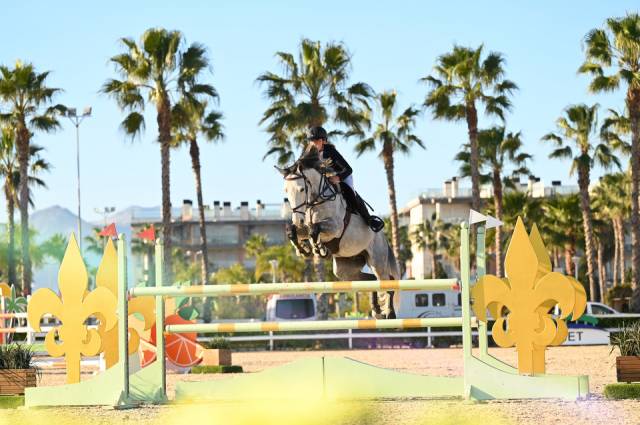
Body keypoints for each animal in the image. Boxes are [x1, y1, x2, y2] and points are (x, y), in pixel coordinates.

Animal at [277, 148, 399, 319]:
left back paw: (389, 312)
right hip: (345, 268)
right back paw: (376, 310)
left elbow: (315, 229)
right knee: (371, 279)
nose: (298, 220)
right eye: (286, 191)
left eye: (301, 189)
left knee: (386, 279)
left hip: (377, 260)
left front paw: (318, 248)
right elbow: (293, 231)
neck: (317, 202)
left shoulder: (335, 227)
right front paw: (304, 249)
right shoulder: (304, 228)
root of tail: (383, 238)